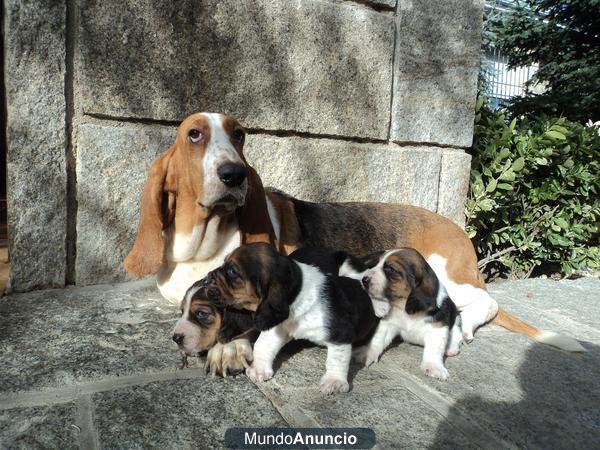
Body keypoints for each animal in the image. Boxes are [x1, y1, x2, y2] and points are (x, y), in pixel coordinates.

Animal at [125, 111, 584, 372]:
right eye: (194, 135)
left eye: (239, 135)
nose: (234, 174)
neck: (205, 242)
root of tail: (456, 228)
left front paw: (228, 348)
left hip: (444, 275)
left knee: (484, 303)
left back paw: (463, 329)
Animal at [206, 243, 376, 394]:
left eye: (232, 271)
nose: (206, 279)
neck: (297, 293)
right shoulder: (277, 327)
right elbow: (263, 344)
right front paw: (259, 368)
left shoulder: (339, 332)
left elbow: (337, 358)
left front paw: (334, 381)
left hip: (350, 269)